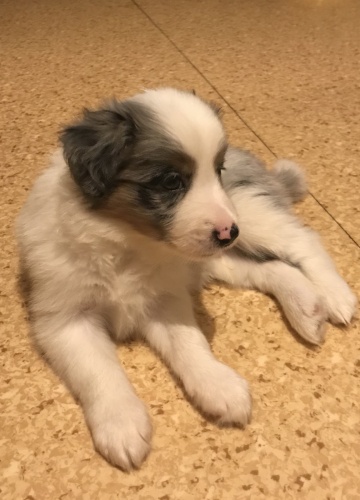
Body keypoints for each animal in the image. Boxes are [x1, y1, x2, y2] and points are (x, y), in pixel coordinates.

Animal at [16, 88, 354, 470]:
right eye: (171, 181)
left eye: (218, 170)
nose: (228, 231)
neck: (128, 243)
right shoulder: (68, 319)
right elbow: (98, 371)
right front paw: (122, 426)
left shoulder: (165, 300)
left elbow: (190, 344)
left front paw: (219, 385)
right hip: (220, 255)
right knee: (272, 267)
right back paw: (308, 310)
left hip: (250, 213)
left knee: (304, 241)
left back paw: (336, 297)